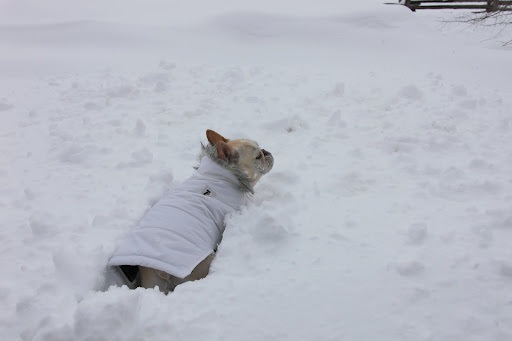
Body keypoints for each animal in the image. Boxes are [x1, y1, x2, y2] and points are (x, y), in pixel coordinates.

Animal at [108, 130, 274, 292]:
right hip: (202, 265)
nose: (266, 151)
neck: (224, 171)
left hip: (153, 283)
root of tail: (162, 271)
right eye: (258, 156)